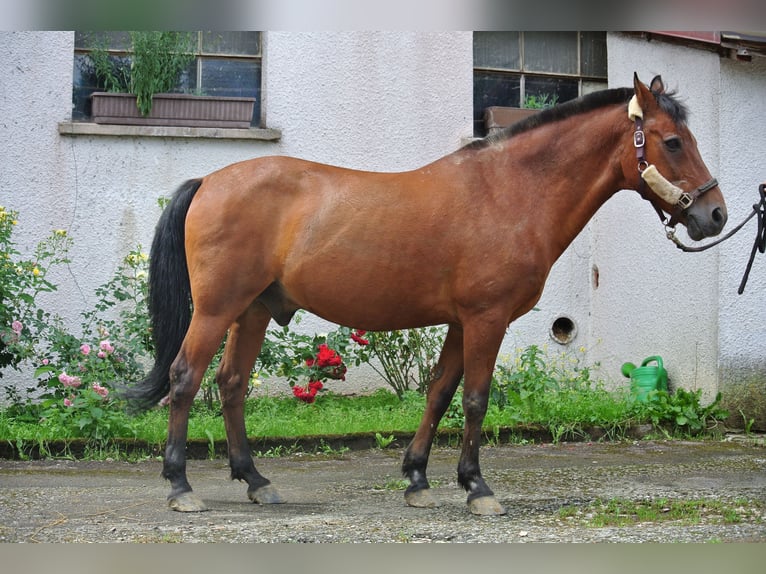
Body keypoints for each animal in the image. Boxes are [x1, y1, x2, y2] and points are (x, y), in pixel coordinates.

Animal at [127, 73, 732, 516]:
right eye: (673, 141)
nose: (715, 215)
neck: (511, 191)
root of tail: (209, 181)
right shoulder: (487, 319)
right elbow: (475, 398)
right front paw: (478, 488)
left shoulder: (463, 322)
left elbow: (439, 392)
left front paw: (417, 478)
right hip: (216, 309)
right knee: (185, 379)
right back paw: (181, 486)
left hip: (251, 311)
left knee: (230, 385)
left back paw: (256, 480)